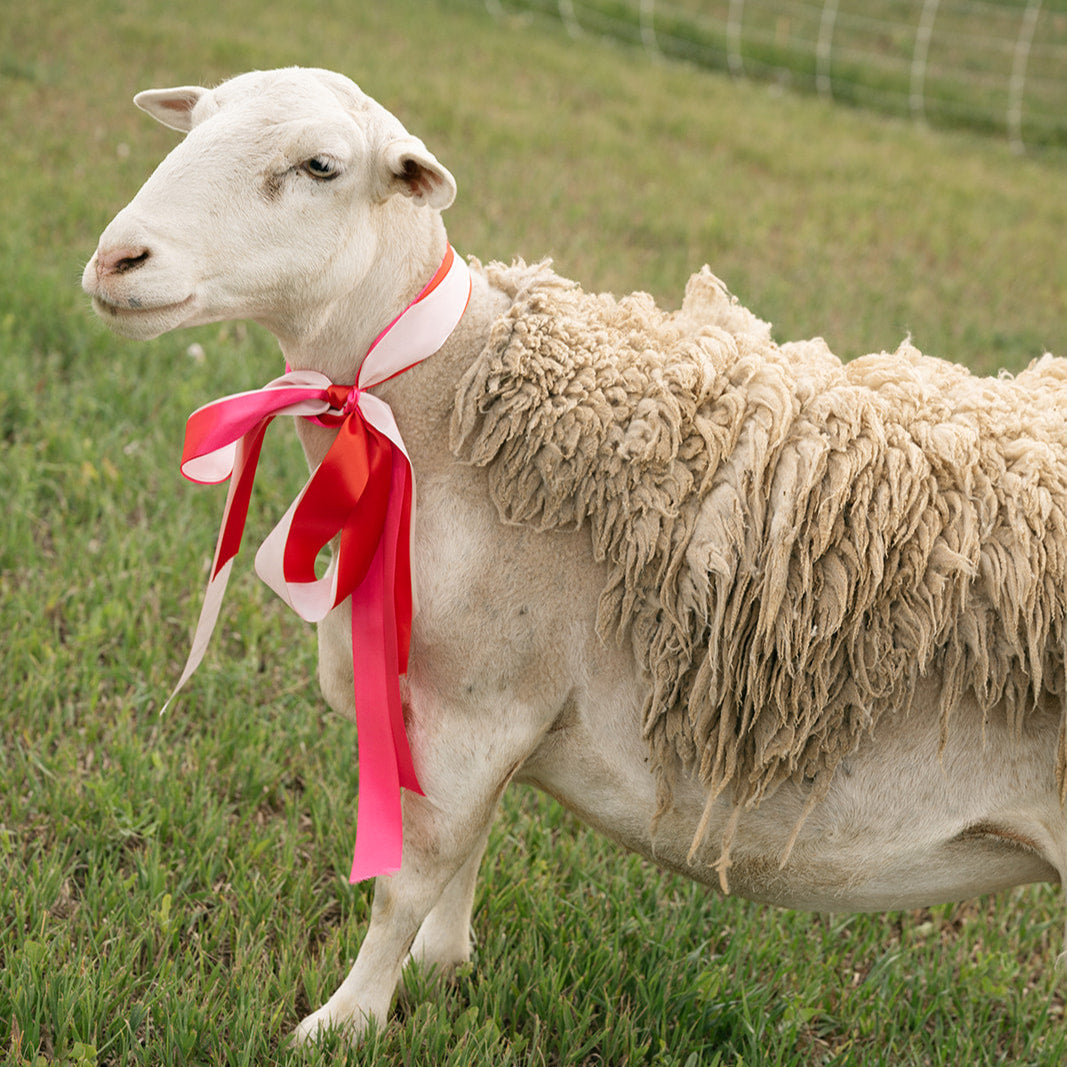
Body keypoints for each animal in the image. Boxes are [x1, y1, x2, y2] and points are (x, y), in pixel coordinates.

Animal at [83, 67, 1067, 1046]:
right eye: (196, 122)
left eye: (319, 165)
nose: (115, 261)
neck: (446, 399)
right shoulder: (481, 704)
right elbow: (468, 847)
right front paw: (444, 967)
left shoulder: (479, 698)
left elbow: (409, 877)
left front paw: (342, 1023)